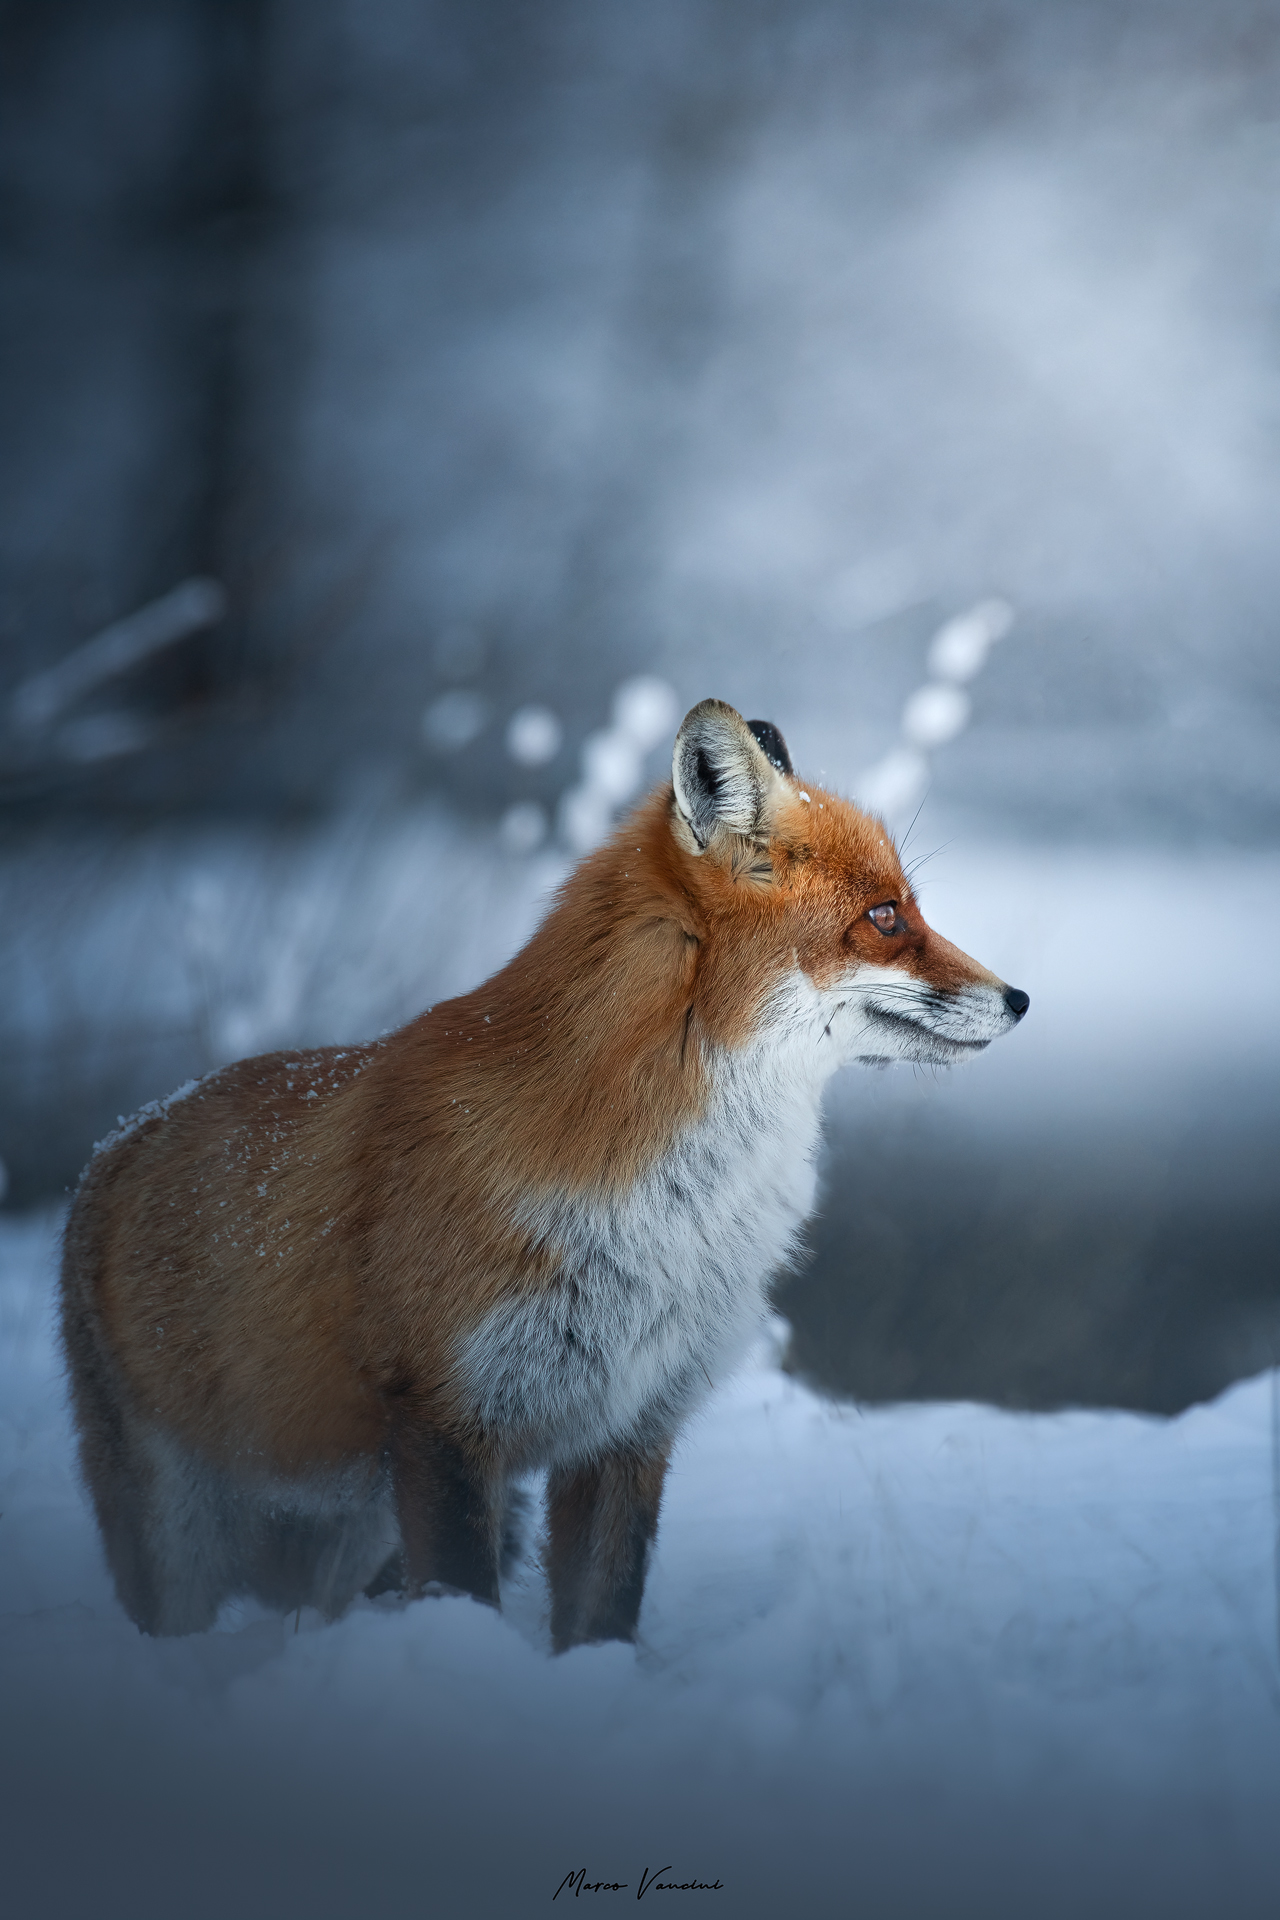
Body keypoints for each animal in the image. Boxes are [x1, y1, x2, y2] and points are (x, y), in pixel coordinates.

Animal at [61, 699, 1028, 1648]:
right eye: (887, 917)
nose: (1019, 999)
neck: (667, 1204)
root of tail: (117, 1143)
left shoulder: (632, 1425)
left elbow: (605, 1614)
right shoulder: (445, 1417)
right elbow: (464, 1588)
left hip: (352, 1531)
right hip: (181, 1538)